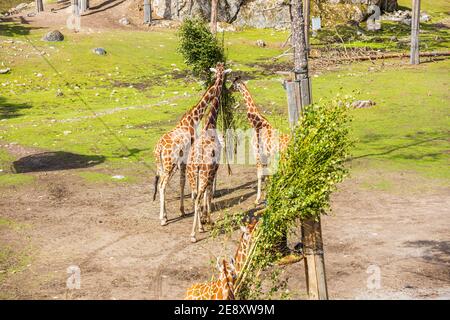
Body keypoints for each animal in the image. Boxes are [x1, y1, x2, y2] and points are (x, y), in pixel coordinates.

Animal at [153, 63, 229, 226]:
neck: (193, 119)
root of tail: (159, 148)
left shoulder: (183, 160)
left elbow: (183, 183)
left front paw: (182, 210)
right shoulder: (186, 157)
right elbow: (186, 183)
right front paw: (184, 211)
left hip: (161, 164)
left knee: (161, 184)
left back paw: (164, 215)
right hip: (169, 165)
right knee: (162, 185)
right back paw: (163, 219)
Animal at [187, 62, 232, 242]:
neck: (210, 124)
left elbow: (206, 194)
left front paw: (204, 221)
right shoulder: (215, 168)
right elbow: (209, 194)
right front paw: (209, 219)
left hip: (192, 174)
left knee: (194, 196)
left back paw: (198, 227)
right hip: (204, 173)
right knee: (199, 196)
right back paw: (193, 234)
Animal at [230, 76, 290, 204]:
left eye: (232, 84)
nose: (228, 90)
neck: (256, 124)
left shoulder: (257, 153)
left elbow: (259, 175)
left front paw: (258, 199)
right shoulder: (265, 155)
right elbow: (266, 175)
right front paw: (267, 197)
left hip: (283, 157)